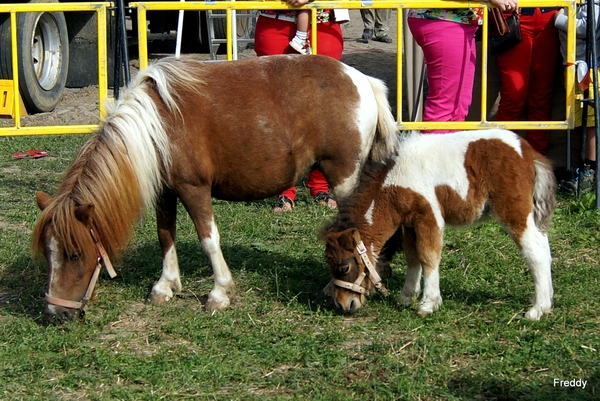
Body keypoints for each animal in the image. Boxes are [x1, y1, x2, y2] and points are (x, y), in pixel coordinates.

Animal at [31, 54, 398, 320]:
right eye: (48, 255)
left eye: (75, 254)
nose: (55, 312)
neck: (155, 124)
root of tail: (362, 80)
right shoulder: (165, 192)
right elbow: (165, 236)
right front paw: (166, 285)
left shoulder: (193, 188)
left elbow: (209, 240)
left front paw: (220, 292)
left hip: (345, 179)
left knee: (355, 234)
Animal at [324, 130, 556, 320]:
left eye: (344, 267)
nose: (342, 304)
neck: (394, 181)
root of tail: (527, 152)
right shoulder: (410, 223)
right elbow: (412, 257)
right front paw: (406, 297)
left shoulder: (429, 216)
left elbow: (428, 256)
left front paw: (428, 303)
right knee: (544, 246)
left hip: (514, 211)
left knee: (535, 251)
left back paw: (537, 310)